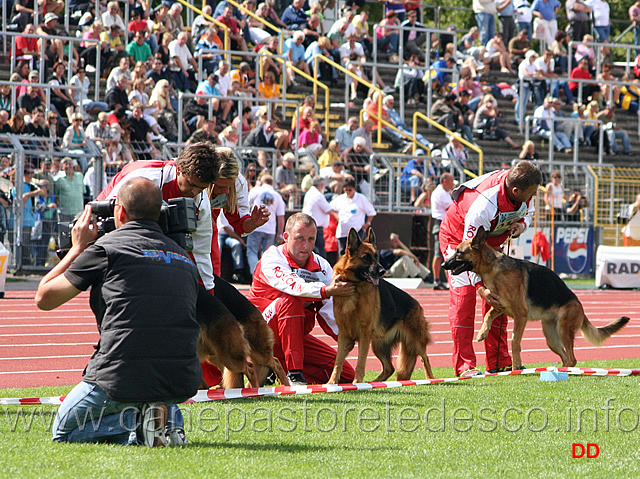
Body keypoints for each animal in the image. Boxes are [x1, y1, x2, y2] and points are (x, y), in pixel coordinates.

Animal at [330, 227, 436, 384]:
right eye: (366, 257)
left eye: (376, 257)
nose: (383, 272)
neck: (355, 286)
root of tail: (417, 304)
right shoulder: (344, 334)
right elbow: (338, 362)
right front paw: (331, 383)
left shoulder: (364, 334)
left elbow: (360, 362)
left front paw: (356, 382)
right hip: (378, 344)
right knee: (389, 368)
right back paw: (374, 382)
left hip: (415, 341)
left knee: (425, 359)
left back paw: (430, 379)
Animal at [442, 227, 628, 370]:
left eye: (458, 253)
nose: (443, 265)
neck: (493, 268)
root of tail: (580, 306)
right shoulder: (500, 307)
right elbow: (488, 315)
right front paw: (482, 332)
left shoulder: (520, 315)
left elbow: (514, 342)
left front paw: (516, 367)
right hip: (551, 338)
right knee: (567, 358)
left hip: (563, 330)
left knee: (572, 358)